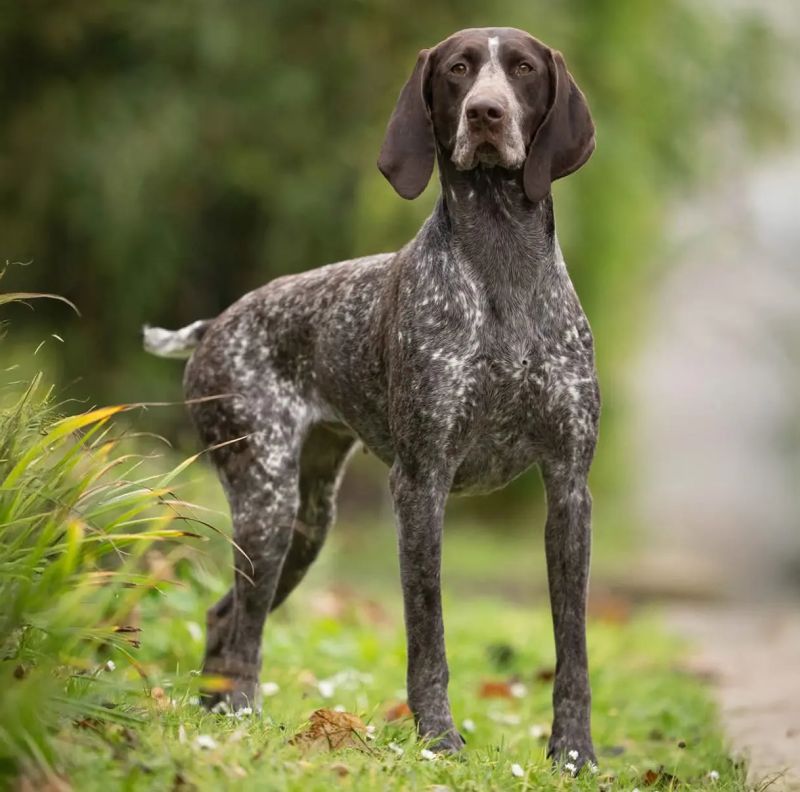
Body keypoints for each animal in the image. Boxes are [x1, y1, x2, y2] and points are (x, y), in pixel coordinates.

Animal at [144, 26, 598, 768]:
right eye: (459, 69)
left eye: (524, 69)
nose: (486, 114)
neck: (503, 263)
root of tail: (216, 325)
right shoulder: (421, 483)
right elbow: (428, 631)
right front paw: (439, 740)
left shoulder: (568, 488)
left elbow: (574, 645)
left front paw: (574, 754)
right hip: (267, 502)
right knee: (244, 628)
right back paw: (238, 715)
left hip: (308, 521)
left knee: (224, 615)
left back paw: (215, 716)